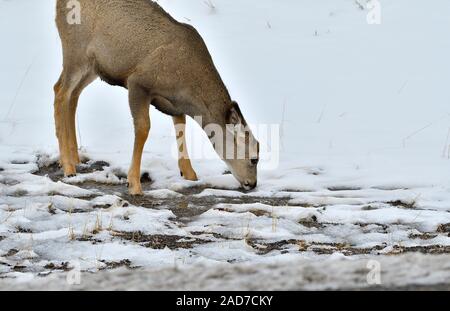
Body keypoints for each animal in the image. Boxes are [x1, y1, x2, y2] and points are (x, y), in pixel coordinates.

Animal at [55, 0, 260, 195]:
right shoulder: (138, 83)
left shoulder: (173, 104)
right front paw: (134, 184)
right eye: (254, 158)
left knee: (74, 95)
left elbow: (180, 126)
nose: (252, 183)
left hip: (93, 66)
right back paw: (68, 166)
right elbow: (144, 128)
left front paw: (189, 173)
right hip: (75, 50)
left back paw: (74, 158)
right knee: (60, 91)